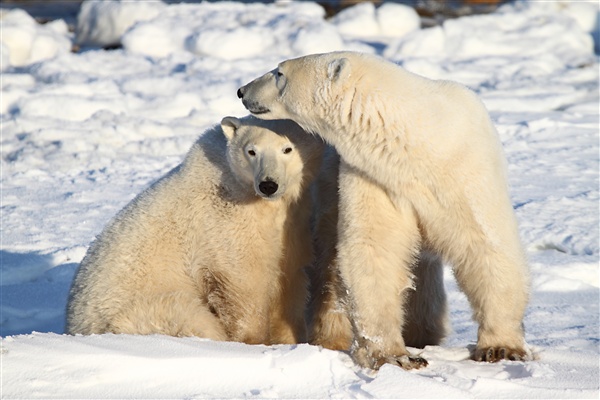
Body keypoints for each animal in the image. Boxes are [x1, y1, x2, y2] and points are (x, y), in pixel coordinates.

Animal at [67, 115, 324, 344]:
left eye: (287, 149)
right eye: (251, 151)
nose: (268, 185)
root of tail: (74, 324)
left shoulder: (292, 226)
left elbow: (289, 279)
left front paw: (292, 339)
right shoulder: (225, 226)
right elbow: (244, 282)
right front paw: (254, 341)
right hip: (141, 311)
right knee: (192, 318)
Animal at [238, 51, 528, 370]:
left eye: (279, 73)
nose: (242, 91)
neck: (416, 140)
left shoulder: (462, 169)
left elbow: (485, 243)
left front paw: (500, 347)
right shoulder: (376, 178)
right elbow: (375, 248)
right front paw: (396, 355)